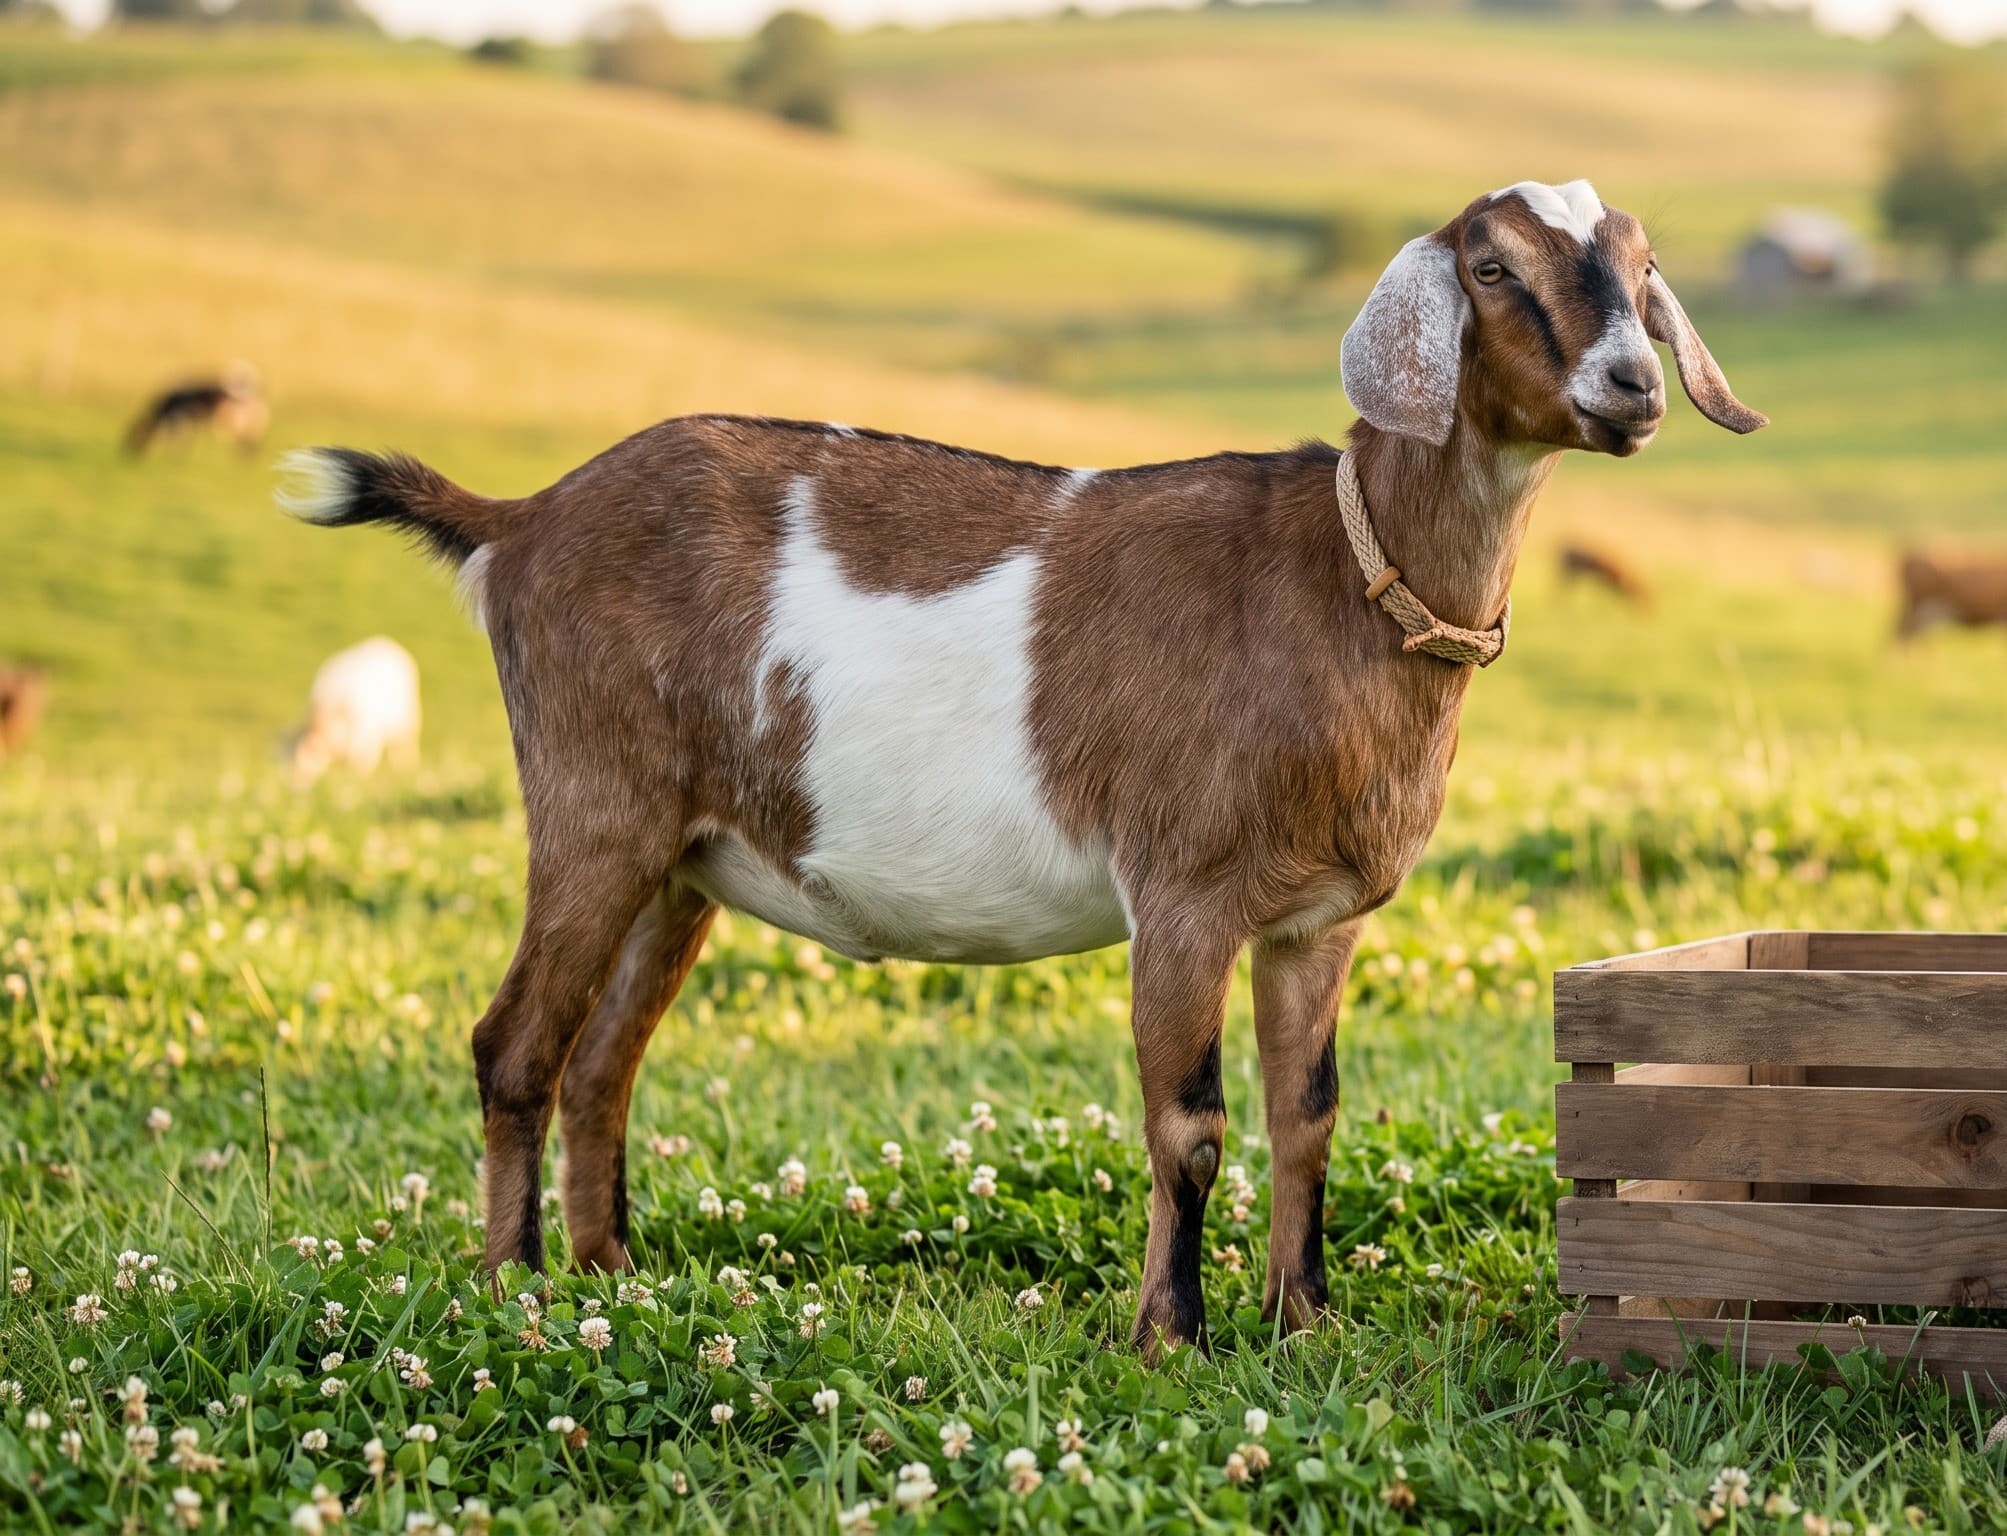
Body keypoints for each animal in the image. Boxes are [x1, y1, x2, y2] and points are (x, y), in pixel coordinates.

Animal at [288, 637, 422, 784]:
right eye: (290, 762)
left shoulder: (366, 740)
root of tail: (384, 640)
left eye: (303, 763)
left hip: (408, 718)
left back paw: (405, 770)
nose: (294, 786)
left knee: (404, 747)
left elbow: (361, 767)